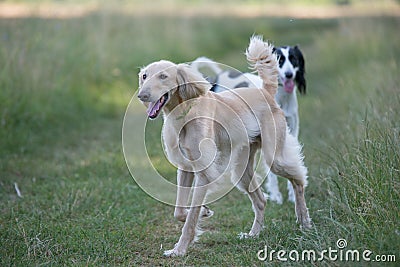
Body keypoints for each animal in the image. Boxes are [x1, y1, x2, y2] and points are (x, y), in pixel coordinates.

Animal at [191, 45, 306, 205]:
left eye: (293, 59)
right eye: (280, 60)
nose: (289, 75)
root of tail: (218, 77)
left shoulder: (292, 131)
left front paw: (292, 195)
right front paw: (276, 195)